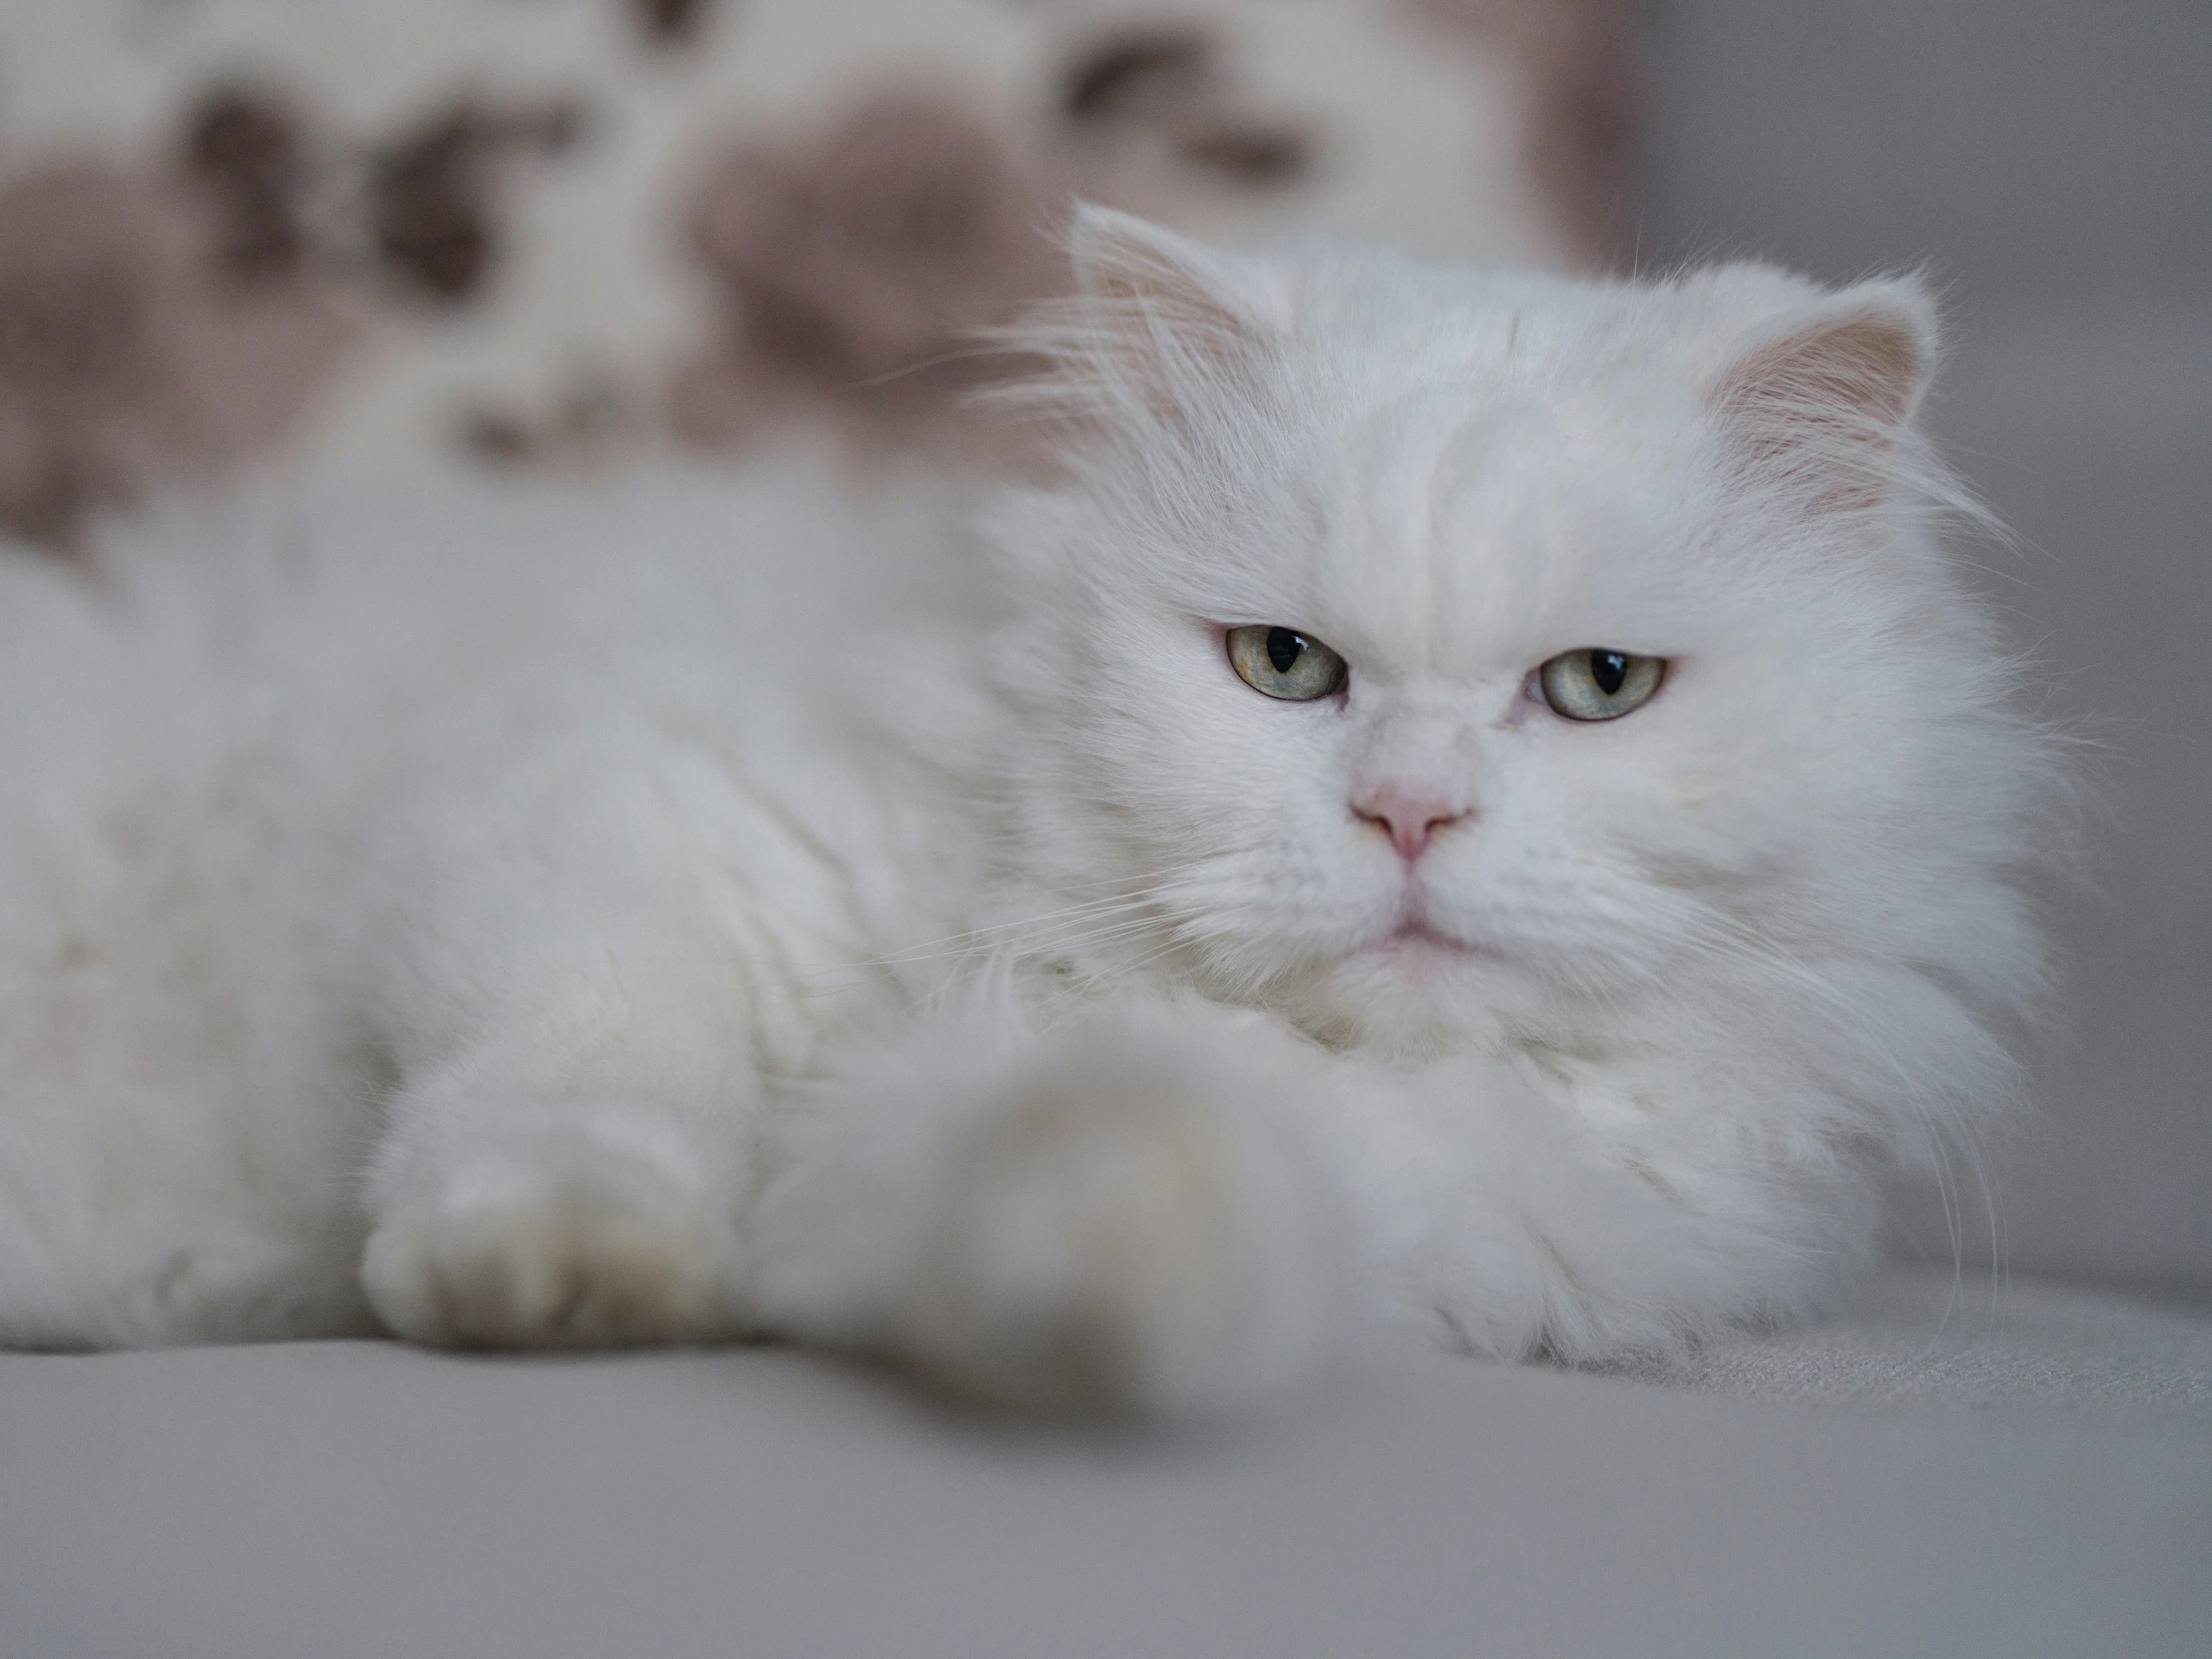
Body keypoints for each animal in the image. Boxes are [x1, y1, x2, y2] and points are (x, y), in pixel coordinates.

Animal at [0, 211, 2052, 1415]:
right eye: (1285, 665)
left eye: (1599, 686)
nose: (1405, 815)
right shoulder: (611, 818)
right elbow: (584, 1097)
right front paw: (559, 1281)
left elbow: (1107, 1192)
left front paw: (1093, 1260)